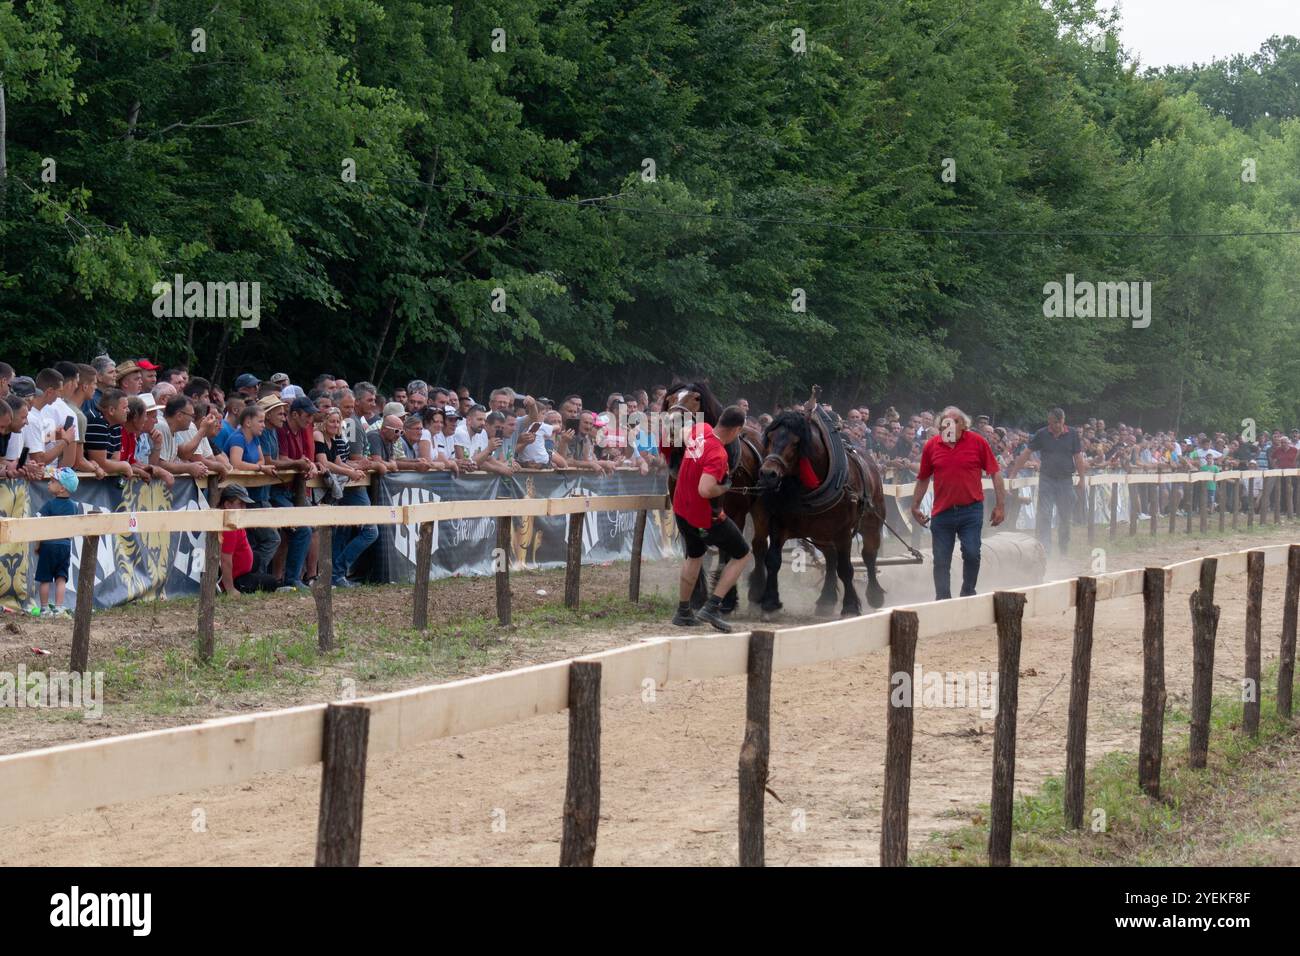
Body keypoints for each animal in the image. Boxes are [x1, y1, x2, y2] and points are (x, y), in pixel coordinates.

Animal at [748, 405, 889, 616]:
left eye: (796, 442)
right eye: (770, 437)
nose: (767, 474)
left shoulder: (843, 532)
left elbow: (846, 568)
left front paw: (850, 605)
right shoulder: (778, 524)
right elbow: (773, 560)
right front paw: (771, 601)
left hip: (871, 523)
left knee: (869, 555)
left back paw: (874, 594)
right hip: (820, 534)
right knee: (830, 558)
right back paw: (826, 599)